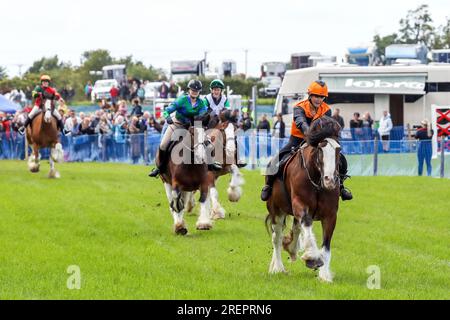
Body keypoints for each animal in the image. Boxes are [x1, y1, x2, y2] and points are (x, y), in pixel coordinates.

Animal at [264, 116, 342, 282]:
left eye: (338, 149)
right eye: (320, 149)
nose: (330, 180)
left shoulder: (331, 215)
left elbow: (326, 245)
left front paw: (325, 275)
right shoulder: (300, 205)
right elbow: (306, 223)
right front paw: (312, 258)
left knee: (294, 229)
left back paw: (291, 249)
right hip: (276, 211)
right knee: (277, 237)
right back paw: (277, 268)